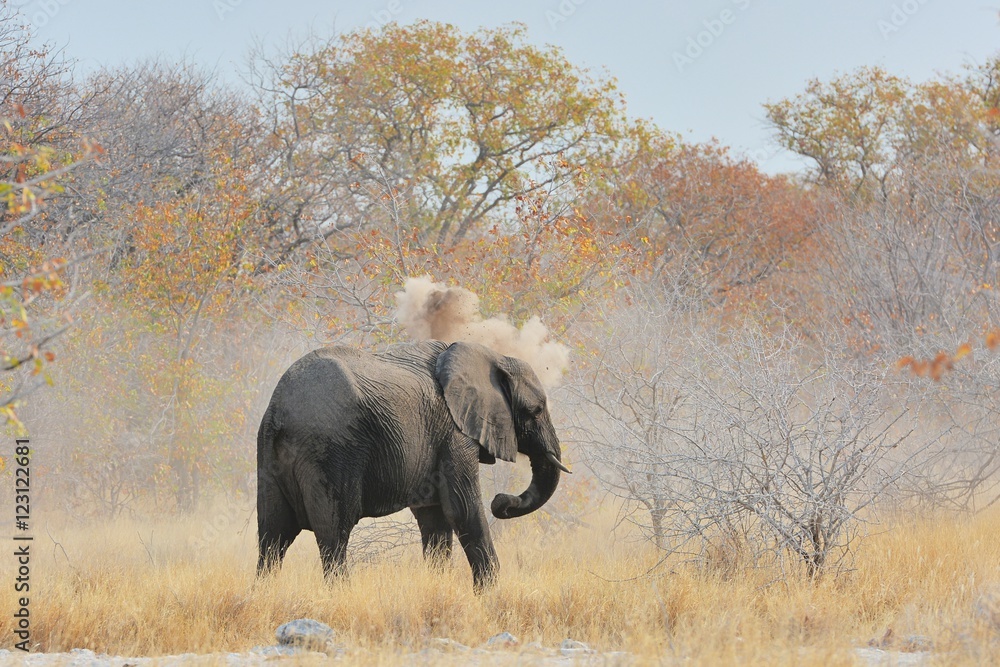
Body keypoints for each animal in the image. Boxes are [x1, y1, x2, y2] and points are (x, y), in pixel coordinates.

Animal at [255, 340, 569, 590]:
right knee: (333, 535)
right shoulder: (454, 433)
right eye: (536, 410)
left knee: (272, 536)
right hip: (332, 452)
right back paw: (340, 595)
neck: (494, 355)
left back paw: (265, 593)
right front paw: (489, 595)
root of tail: (279, 411)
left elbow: (435, 518)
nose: (501, 501)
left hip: (268, 456)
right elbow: (462, 508)